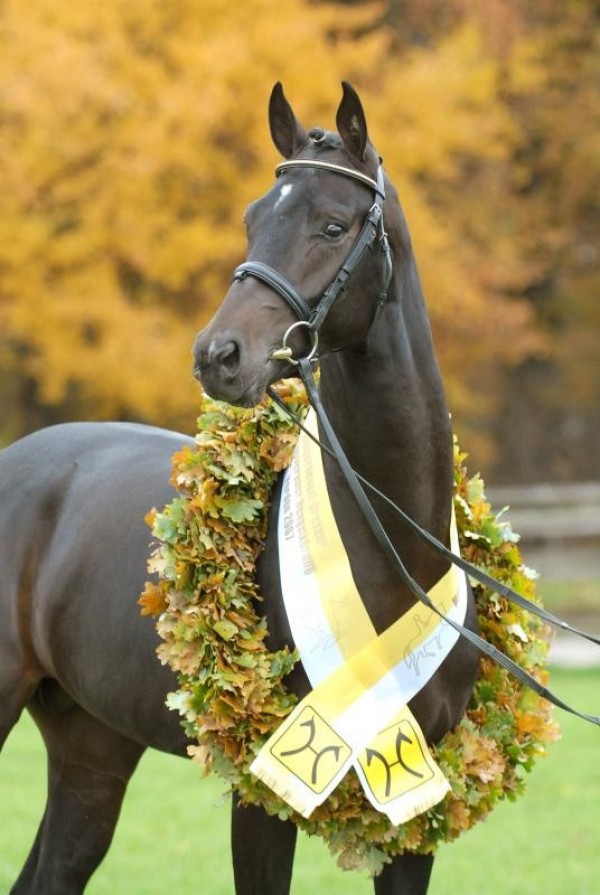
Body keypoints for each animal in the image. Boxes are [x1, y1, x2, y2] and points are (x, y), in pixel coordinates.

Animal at [0, 82, 478, 888]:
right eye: (254, 218)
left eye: (332, 224)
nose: (217, 355)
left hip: (92, 752)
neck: (392, 558)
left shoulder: (417, 805)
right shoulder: (265, 794)